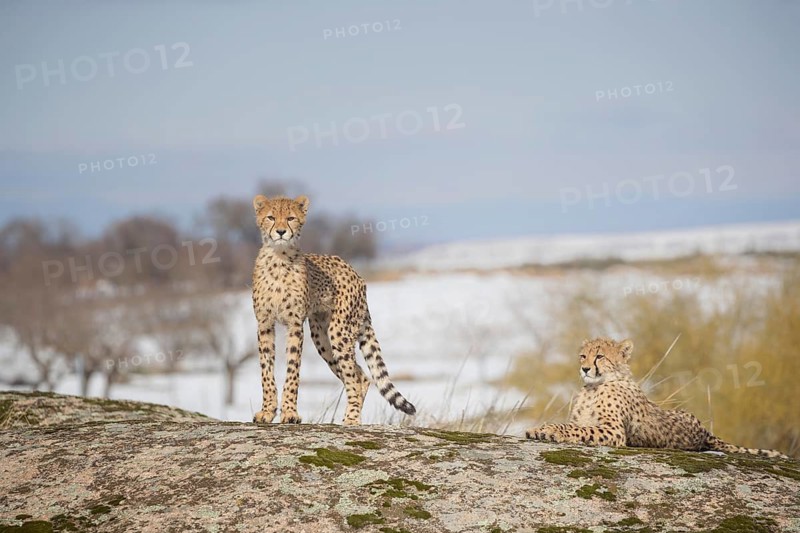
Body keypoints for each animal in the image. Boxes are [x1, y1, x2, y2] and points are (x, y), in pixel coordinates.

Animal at [250, 194, 416, 426]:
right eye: (271, 217)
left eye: (291, 218)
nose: (281, 232)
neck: (279, 257)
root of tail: (355, 272)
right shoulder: (264, 323)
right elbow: (266, 369)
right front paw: (267, 411)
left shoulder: (295, 325)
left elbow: (292, 369)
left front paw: (290, 413)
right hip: (321, 337)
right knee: (360, 375)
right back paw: (350, 416)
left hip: (339, 332)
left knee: (355, 376)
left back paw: (352, 420)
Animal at [526, 337, 787, 458]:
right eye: (583, 356)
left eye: (599, 356)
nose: (585, 369)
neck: (594, 387)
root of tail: (705, 431)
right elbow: (575, 425)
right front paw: (540, 428)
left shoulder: (614, 432)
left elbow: (575, 429)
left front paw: (548, 429)